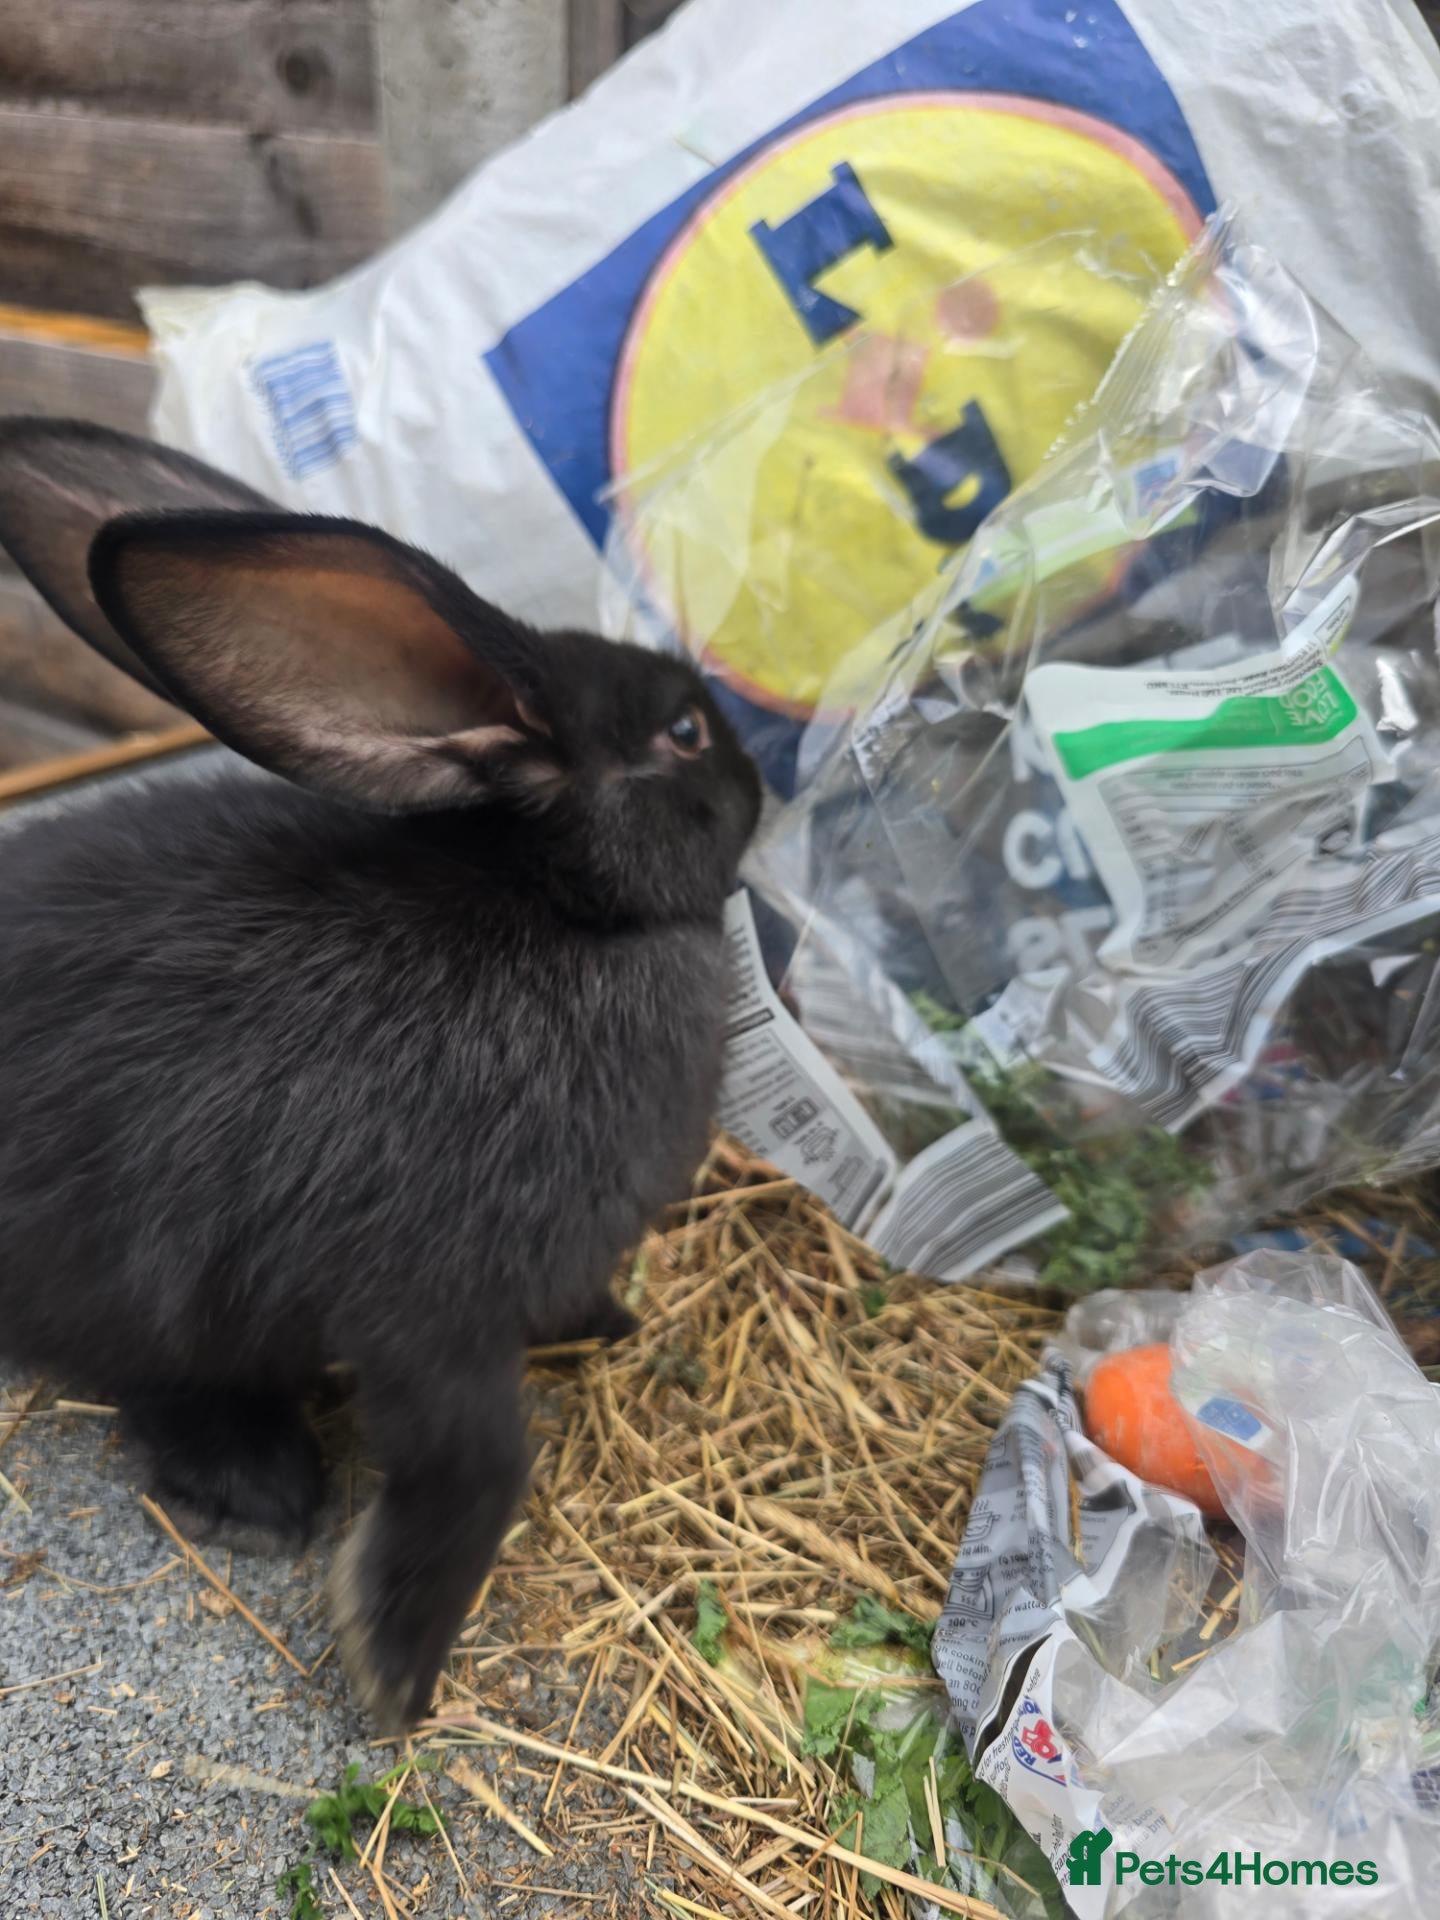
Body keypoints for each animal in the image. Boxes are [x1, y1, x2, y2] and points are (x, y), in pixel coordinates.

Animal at [0, 419, 761, 1730]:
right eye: (684, 734)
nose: (768, 786)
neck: (567, 912)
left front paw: (609, 1322)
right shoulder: (429, 1308)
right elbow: (485, 1454)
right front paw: (395, 1667)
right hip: (134, 1272)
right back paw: (251, 1489)